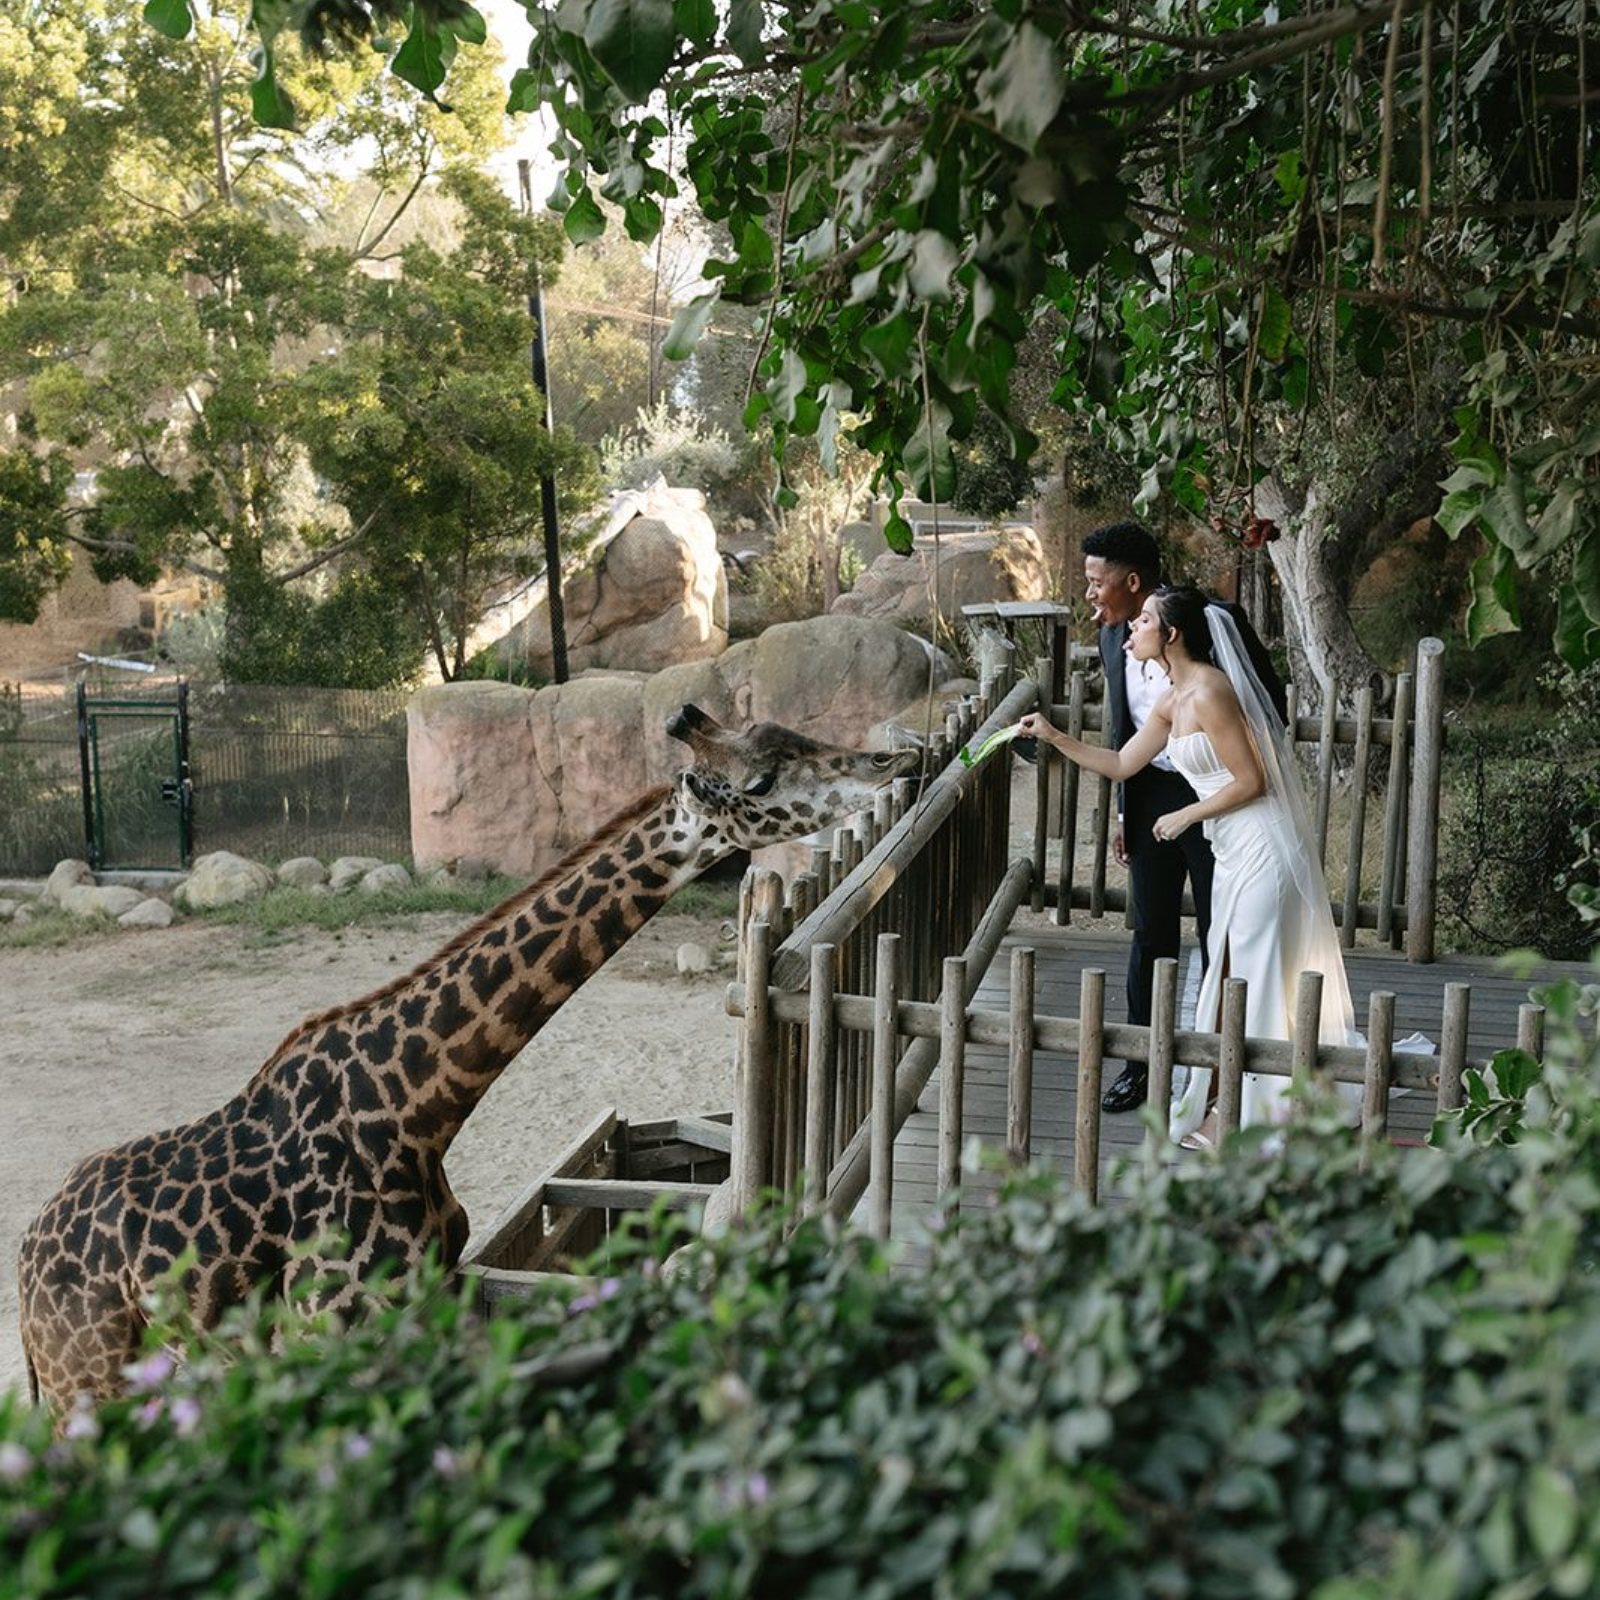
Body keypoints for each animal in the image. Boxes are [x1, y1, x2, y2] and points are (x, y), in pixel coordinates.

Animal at [19, 705, 919, 1413]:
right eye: (761, 782)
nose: (893, 758)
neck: (420, 1106)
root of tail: (26, 1261)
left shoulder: (429, 1300)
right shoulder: (334, 1330)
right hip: (84, 1383)